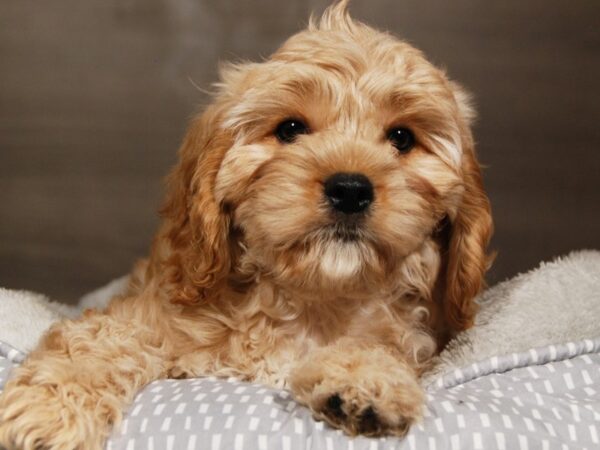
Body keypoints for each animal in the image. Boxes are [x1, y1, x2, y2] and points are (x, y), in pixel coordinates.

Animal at [0, 1, 492, 448]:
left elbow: (380, 346)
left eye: (402, 138)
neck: (312, 301)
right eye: (290, 128)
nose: (350, 189)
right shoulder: (151, 318)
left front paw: (365, 381)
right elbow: (98, 342)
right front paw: (48, 410)